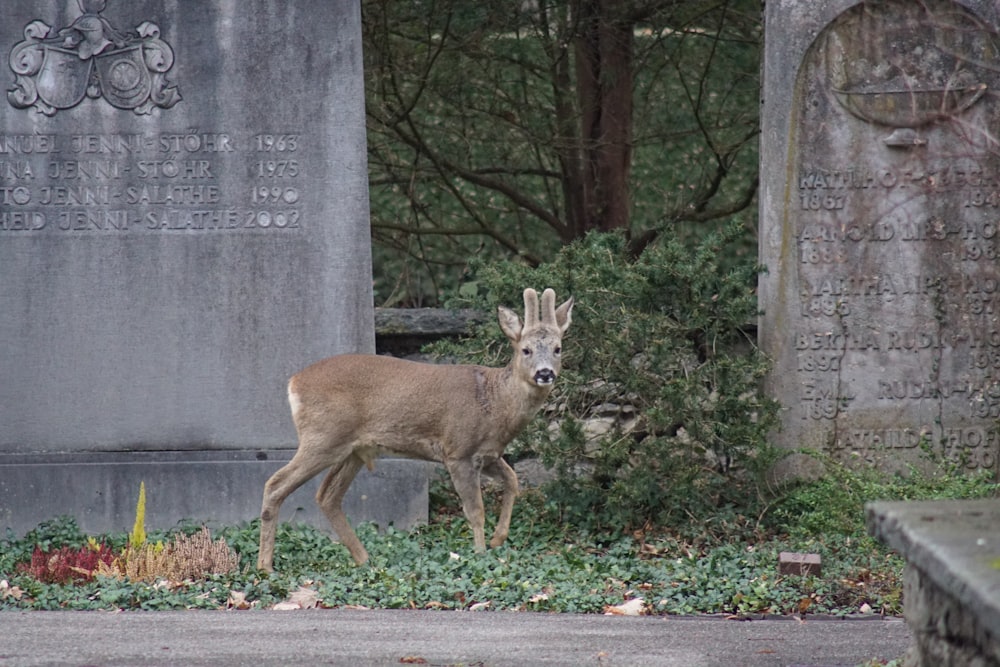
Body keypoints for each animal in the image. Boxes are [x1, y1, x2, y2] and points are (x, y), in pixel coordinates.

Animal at [254, 290, 576, 572]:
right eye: (526, 349)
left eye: (558, 348)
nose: (544, 373)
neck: (494, 403)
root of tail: (293, 382)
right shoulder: (457, 450)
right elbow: (476, 511)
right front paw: (481, 554)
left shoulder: (488, 454)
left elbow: (513, 480)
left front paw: (498, 539)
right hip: (322, 437)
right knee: (275, 484)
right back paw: (265, 566)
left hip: (352, 450)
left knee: (326, 496)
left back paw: (364, 559)